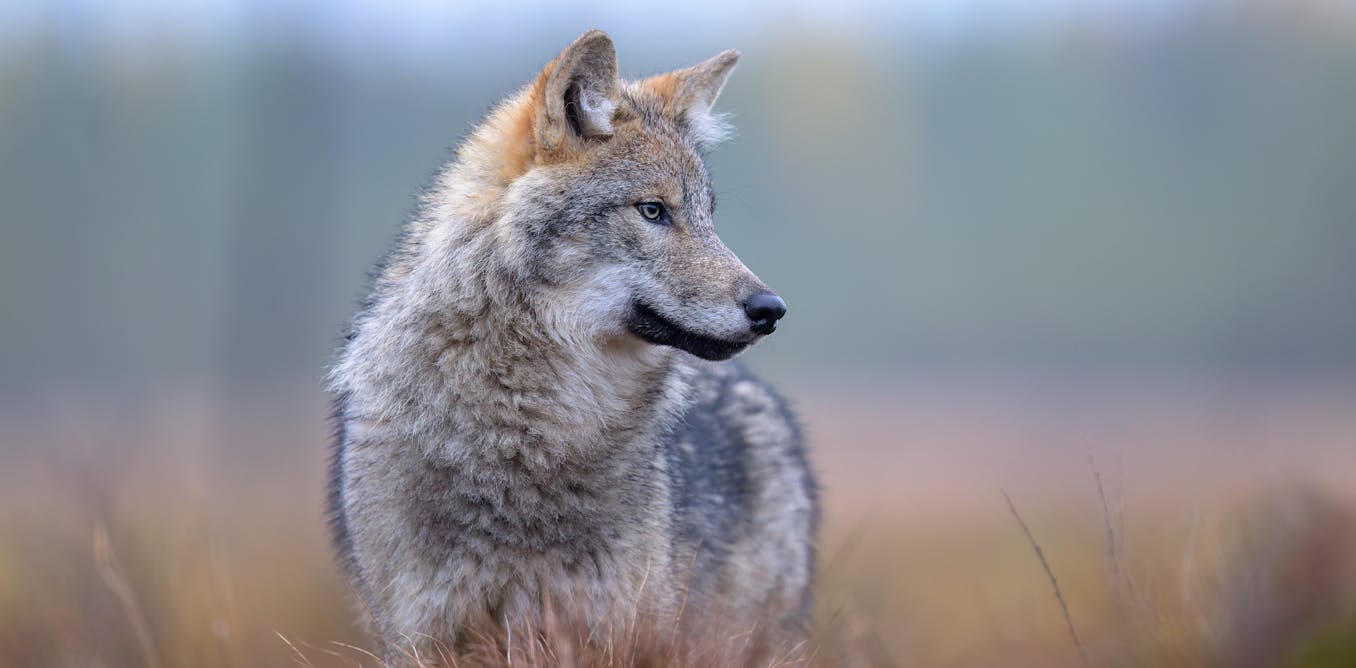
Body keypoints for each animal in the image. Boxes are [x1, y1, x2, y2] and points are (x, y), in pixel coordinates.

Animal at [327, 30, 818, 659]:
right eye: (653, 210)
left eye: (709, 216)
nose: (770, 309)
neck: (526, 435)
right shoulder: (422, 637)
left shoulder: (613, 632)